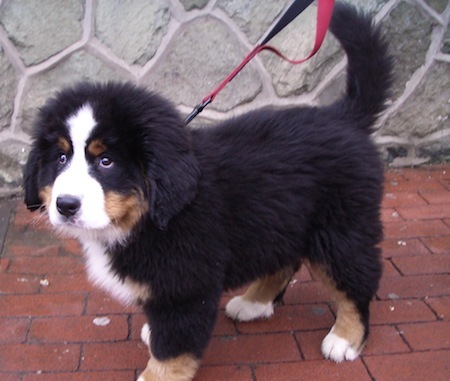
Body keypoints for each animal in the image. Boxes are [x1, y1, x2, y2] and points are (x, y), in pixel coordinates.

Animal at [22, 3, 392, 380]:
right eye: (62, 157)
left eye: (106, 161)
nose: (65, 205)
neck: (151, 217)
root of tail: (344, 117)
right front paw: (152, 333)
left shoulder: (186, 285)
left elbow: (172, 348)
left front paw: (155, 373)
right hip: (282, 219)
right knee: (285, 260)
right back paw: (254, 302)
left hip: (340, 229)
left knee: (356, 280)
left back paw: (346, 337)